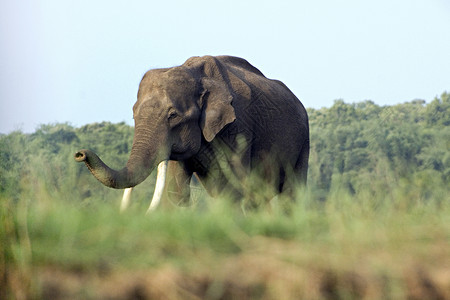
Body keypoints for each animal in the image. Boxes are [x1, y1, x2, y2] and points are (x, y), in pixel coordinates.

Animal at [75, 55, 312, 211]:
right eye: (133, 115)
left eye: (173, 116)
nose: (80, 154)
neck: (196, 74)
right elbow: (177, 191)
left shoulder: (238, 126)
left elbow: (233, 188)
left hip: (303, 142)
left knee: (290, 194)